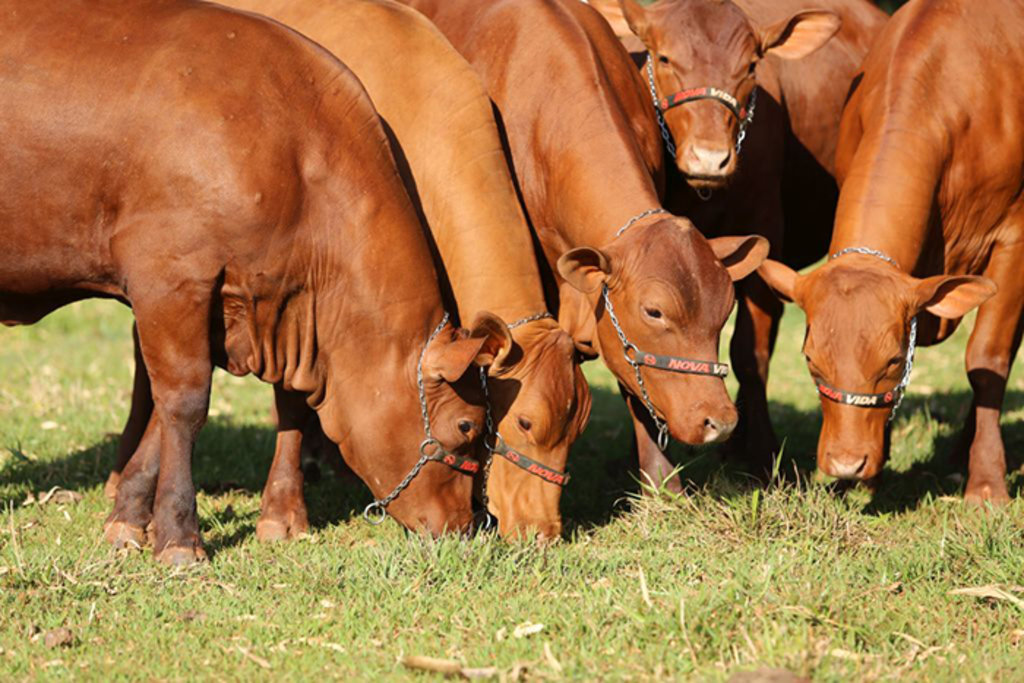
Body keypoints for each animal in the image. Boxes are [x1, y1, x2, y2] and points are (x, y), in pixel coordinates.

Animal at [0, 0, 507, 565]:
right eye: (466, 426)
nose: (468, 527)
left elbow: (175, 405)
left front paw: (131, 518)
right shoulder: (170, 277)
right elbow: (183, 402)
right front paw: (180, 536)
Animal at [598, 0, 888, 471]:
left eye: (751, 66)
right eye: (664, 58)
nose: (709, 157)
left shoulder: (764, 234)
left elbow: (751, 354)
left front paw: (760, 452)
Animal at [757, 0, 1019, 501]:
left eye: (893, 360)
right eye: (811, 361)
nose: (845, 463)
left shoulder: (1013, 237)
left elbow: (987, 359)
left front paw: (986, 483)